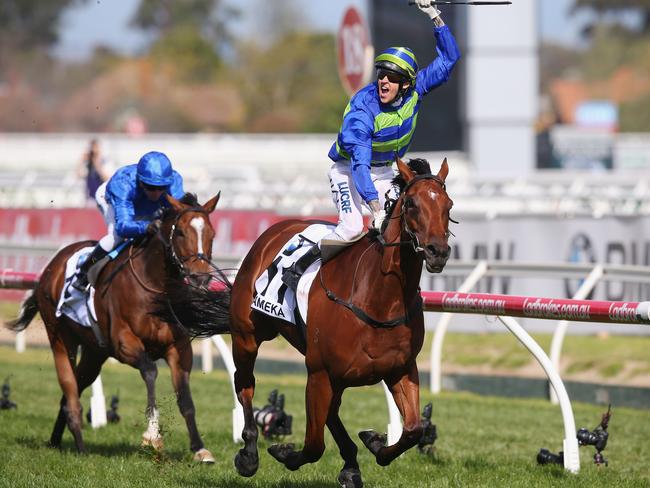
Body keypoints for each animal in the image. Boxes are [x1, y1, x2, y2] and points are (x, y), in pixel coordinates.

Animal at [5, 192, 225, 462]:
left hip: (94, 353)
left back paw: (55, 441)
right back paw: (81, 447)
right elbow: (150, 371)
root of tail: (51, 266)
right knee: (70, 389)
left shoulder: (179, 349)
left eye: (212, 234)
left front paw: (200, 449)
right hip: (61, 339)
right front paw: (152, 436)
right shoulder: (124, 344)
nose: (200, 278)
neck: (155, 285)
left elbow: (185, 399)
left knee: (73, 390)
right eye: (181, 232)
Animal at [185, 158, 454, 486]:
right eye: (412, 203)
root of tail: (277, 229)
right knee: (245, 385)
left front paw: (375, 442)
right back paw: (248, 454)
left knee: (332, 411)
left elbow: (413, 429)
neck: (380, 298)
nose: (437, 251)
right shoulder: (318, 372)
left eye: (449, 205)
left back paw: (351, 462)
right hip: (247, 336)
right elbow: (313, 445)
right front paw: (284, 452)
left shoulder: (399, 369)